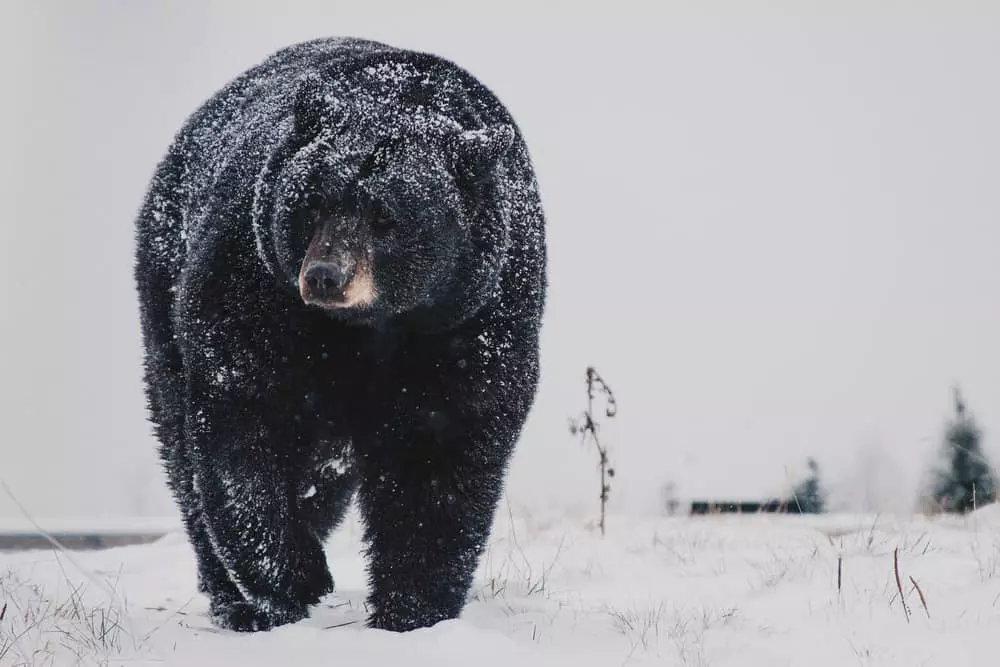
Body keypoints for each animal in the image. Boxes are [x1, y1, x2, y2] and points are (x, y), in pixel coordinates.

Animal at [133, 37, 546, 633]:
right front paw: (293, 576)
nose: (325, 276)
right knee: (183, 449)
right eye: (314, 203)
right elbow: (243, 420)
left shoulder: (472, 320)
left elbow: (440, 455)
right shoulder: (254, 286)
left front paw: (412, 609)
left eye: (387, 218)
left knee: (322, 476)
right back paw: (237, 601)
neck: (369, 330)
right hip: (163, 287)